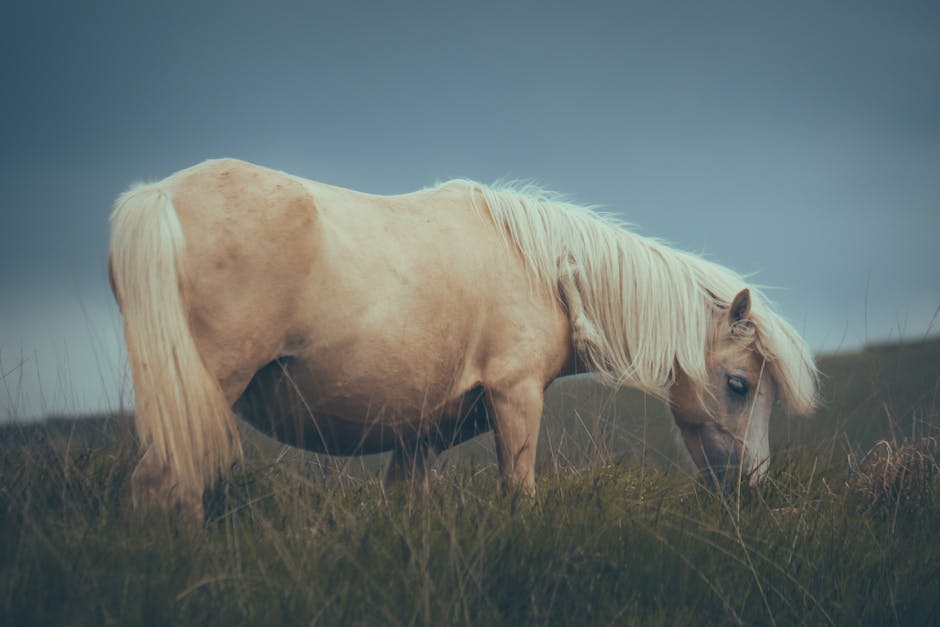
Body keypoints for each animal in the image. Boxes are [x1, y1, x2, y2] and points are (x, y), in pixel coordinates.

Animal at [108, 158, 816, 520]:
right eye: (738, 385)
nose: (751, 490)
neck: (544, 268)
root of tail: (157, 197)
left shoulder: (417, 436)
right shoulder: (515, 396)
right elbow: (519, 493)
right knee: (165, 486)